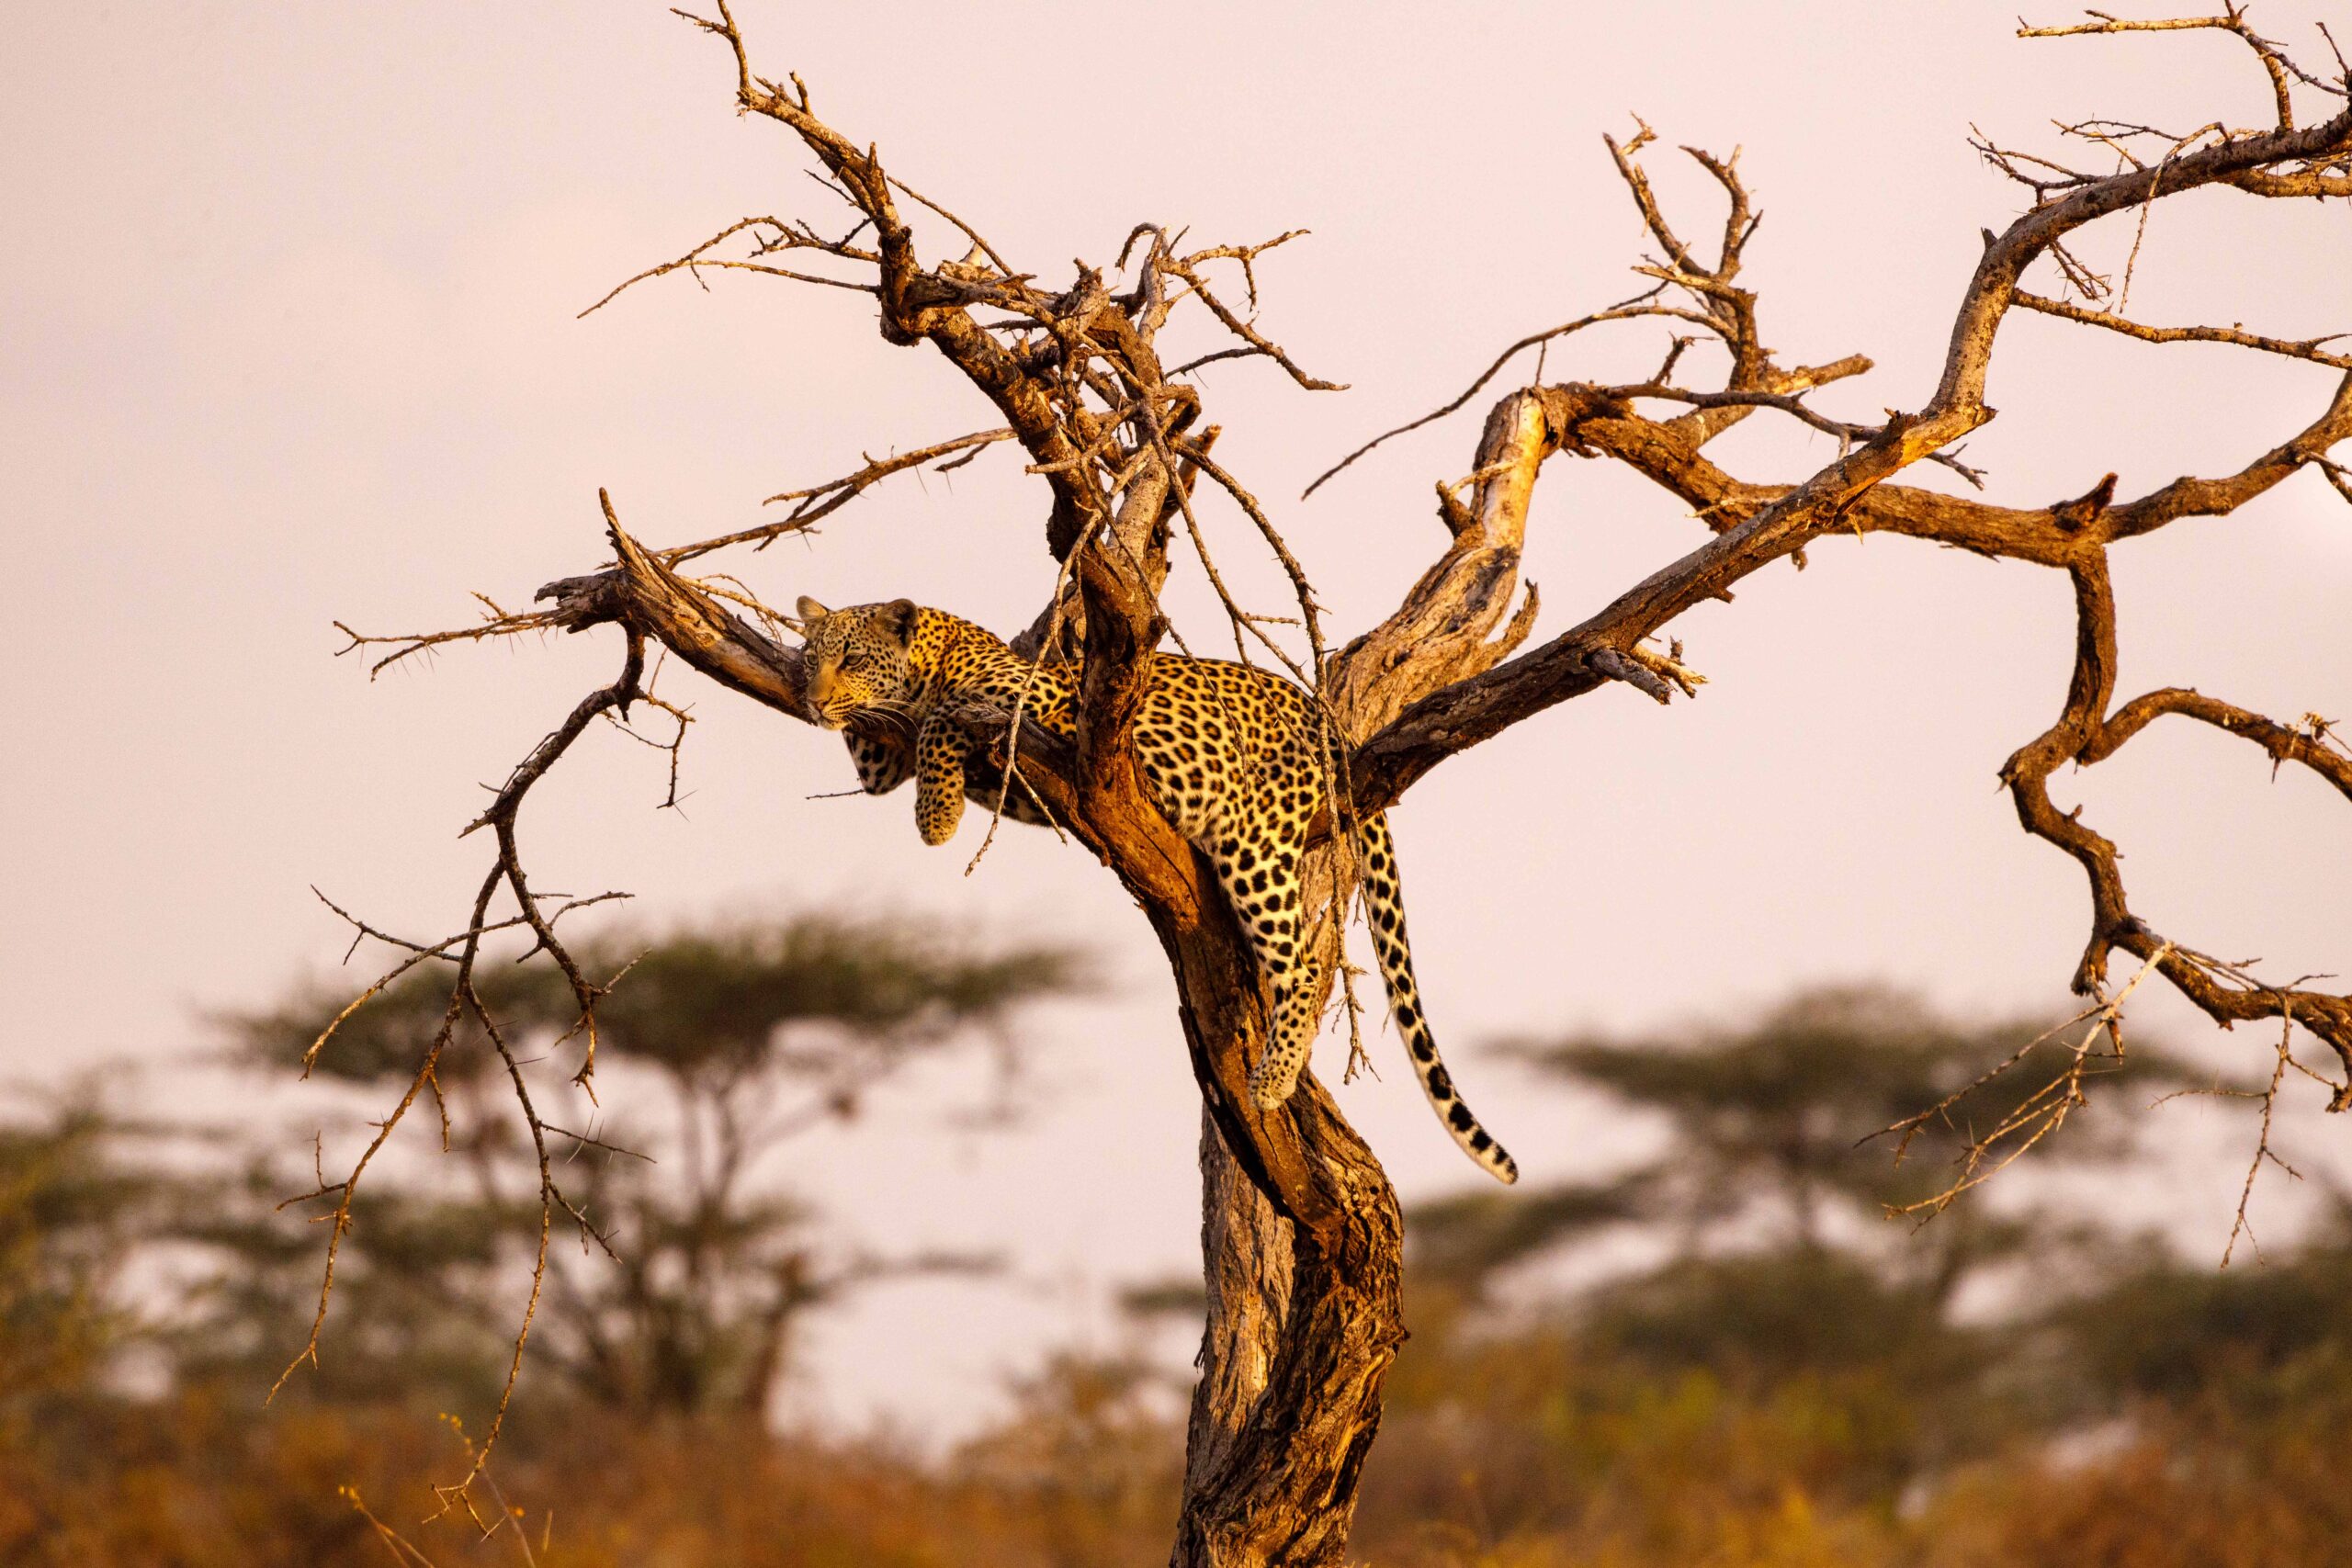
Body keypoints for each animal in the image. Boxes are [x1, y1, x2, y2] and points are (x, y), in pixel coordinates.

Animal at [799, 594, 1514, 1184]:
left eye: (852, 658)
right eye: (812, 658)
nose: (811, 698)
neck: (933, 656)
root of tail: (1329, 720)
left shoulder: (1039, 702)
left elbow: (946, 715)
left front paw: (937, 816)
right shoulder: (880, 761)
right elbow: (878, 747)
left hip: (1254, 839)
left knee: (1303, 964)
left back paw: (1271, 1080)